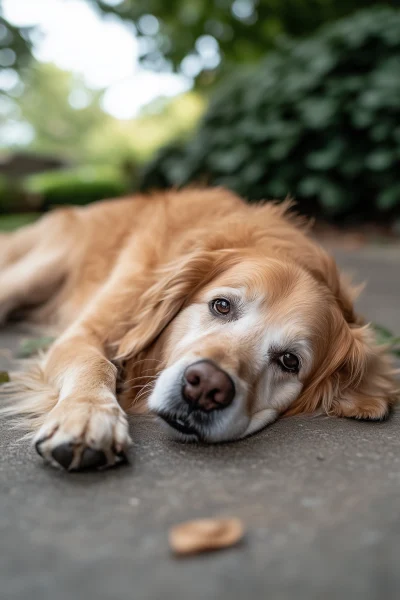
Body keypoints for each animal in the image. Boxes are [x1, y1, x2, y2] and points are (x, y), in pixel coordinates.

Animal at [0, 190, 396, 472]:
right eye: (221, 305)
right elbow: (95, 363)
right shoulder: (85, 333)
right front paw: (87, 416)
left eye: (289, 361)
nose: (206, 388)